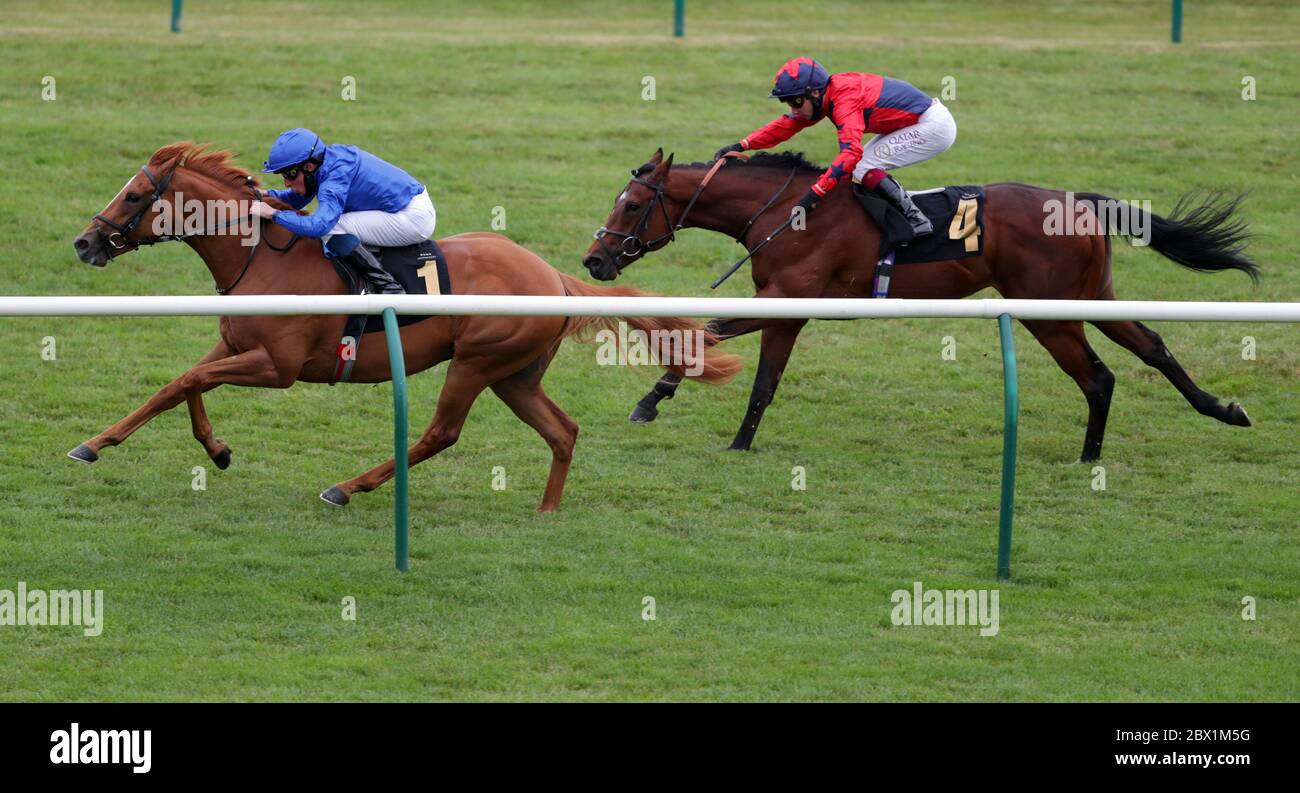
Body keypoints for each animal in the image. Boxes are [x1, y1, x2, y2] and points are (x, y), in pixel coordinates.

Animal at [71, 141, 743, 509]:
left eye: (135, 197)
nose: (84, 242)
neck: (261, 255)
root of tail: (553, 275)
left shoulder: (278, 367)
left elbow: (190, 382)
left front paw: (200, 448)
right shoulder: (232, 346)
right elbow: (179, 385)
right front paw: (117, 445)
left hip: (477, 361)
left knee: (440, 433)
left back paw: (346, 487)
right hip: (515, 374)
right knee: (563, 430)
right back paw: (547, 511)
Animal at [587, 146, 1258, 462]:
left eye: (631, 205)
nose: (594, 260)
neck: (788, 212)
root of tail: (1079, 201)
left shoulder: (787, 301)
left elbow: (727, 355)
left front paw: (675, 414)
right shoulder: (786, 305)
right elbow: (733, 355)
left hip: (1046, 309)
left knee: (1098, 377)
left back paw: (1088, 457)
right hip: (1091, 296)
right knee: (1152, 347)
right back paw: (1222, 410)